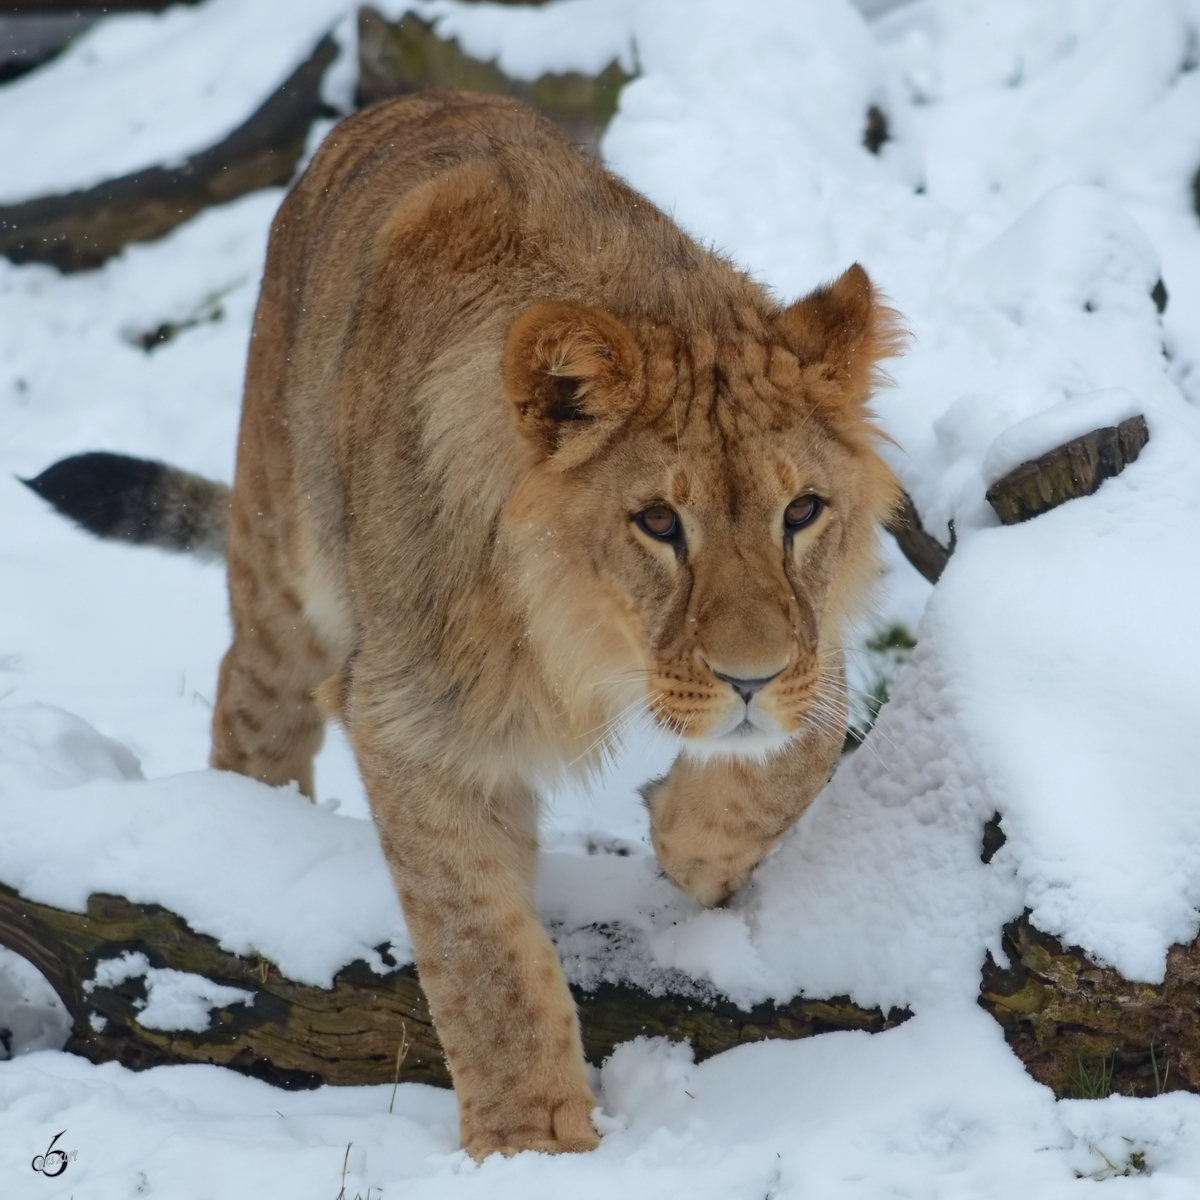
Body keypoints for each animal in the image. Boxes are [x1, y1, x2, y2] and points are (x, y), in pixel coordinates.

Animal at [28, 88, 902, 1156]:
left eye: (803, 511)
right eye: (659, 523)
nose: (750, 679)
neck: (583, 639)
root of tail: (404, 100)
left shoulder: (811, 649)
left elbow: (803, 741)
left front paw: (689, 847)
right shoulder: (411, 718)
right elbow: (484, 958)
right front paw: (534, 1145)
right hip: (284, 558)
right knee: (248, 699)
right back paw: (257, 838)